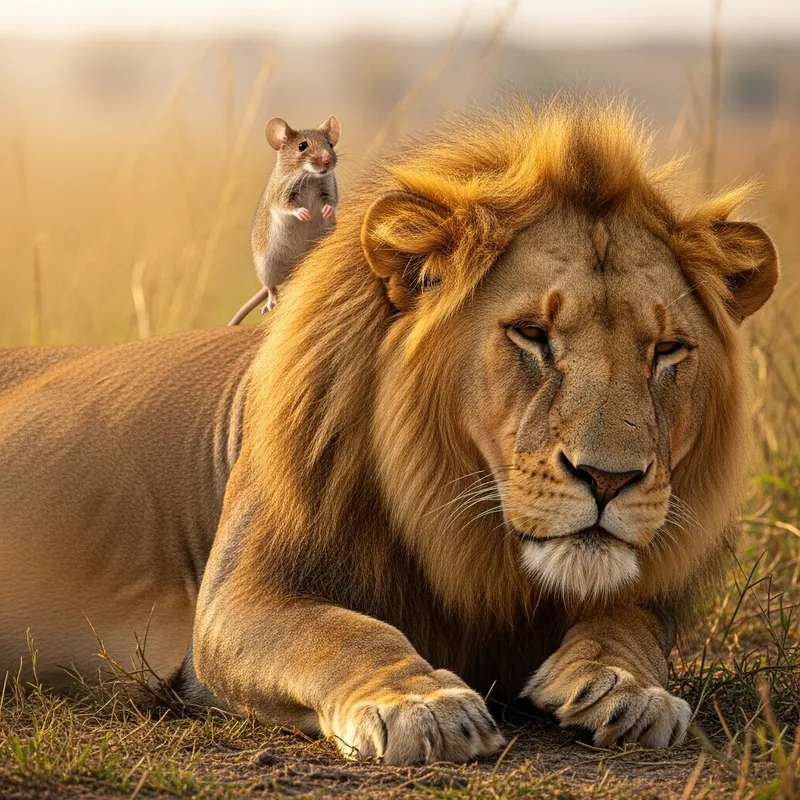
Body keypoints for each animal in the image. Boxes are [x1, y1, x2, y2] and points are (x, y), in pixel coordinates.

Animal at [0, 99, 779, 765]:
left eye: (667, 351)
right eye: (532, 335)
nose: (610, 479)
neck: (468, 540)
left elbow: (634, 623)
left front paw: (628, 688)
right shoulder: (234, 601)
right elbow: (343, 632)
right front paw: (421, 704)